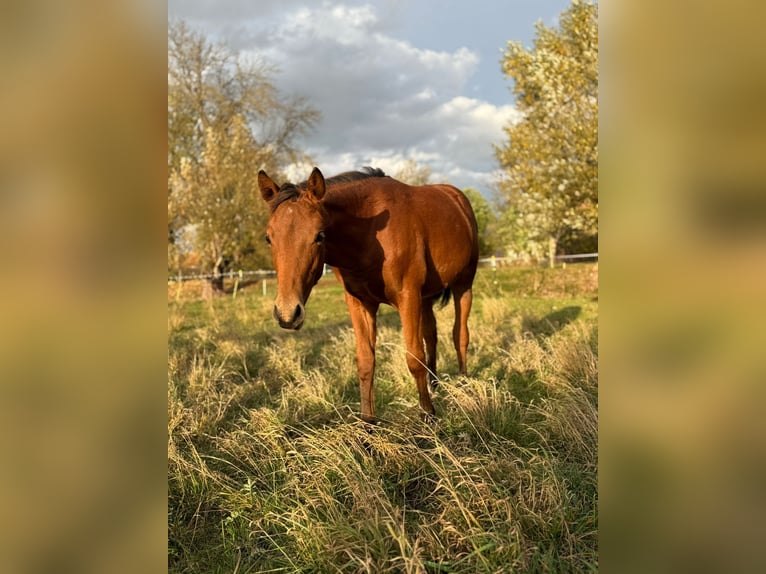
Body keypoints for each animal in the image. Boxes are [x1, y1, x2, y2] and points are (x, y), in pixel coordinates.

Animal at [258, 166, 479, 423]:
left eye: (319, 235)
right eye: (268, 238)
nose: (287, 314)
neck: (371, 234)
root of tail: (457, 197)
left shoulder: (408, 297)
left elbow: (414, 357)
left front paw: (428, 416)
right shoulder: (360, 303)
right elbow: (366, 362)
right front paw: (368, 424)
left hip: (463, 286)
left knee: (459, 335)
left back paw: (463, 385)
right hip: (425, 298)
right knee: (431, 335)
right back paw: (435, 386)